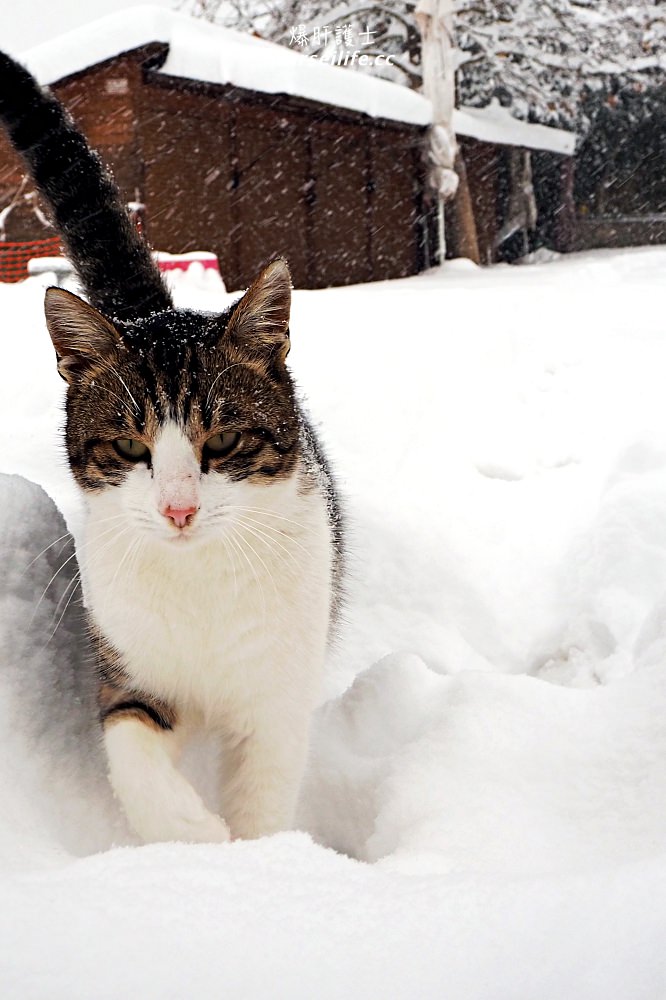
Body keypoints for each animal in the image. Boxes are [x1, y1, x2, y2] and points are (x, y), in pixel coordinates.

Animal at [0, 48, 342, 844]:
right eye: (130, 447)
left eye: (225, 438)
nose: (179, 510)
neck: (201, 582)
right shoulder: (128, 660)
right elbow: (130, 745)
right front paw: (192, 839)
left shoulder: (275, 696)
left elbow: (265, 793)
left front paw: (260, 857)